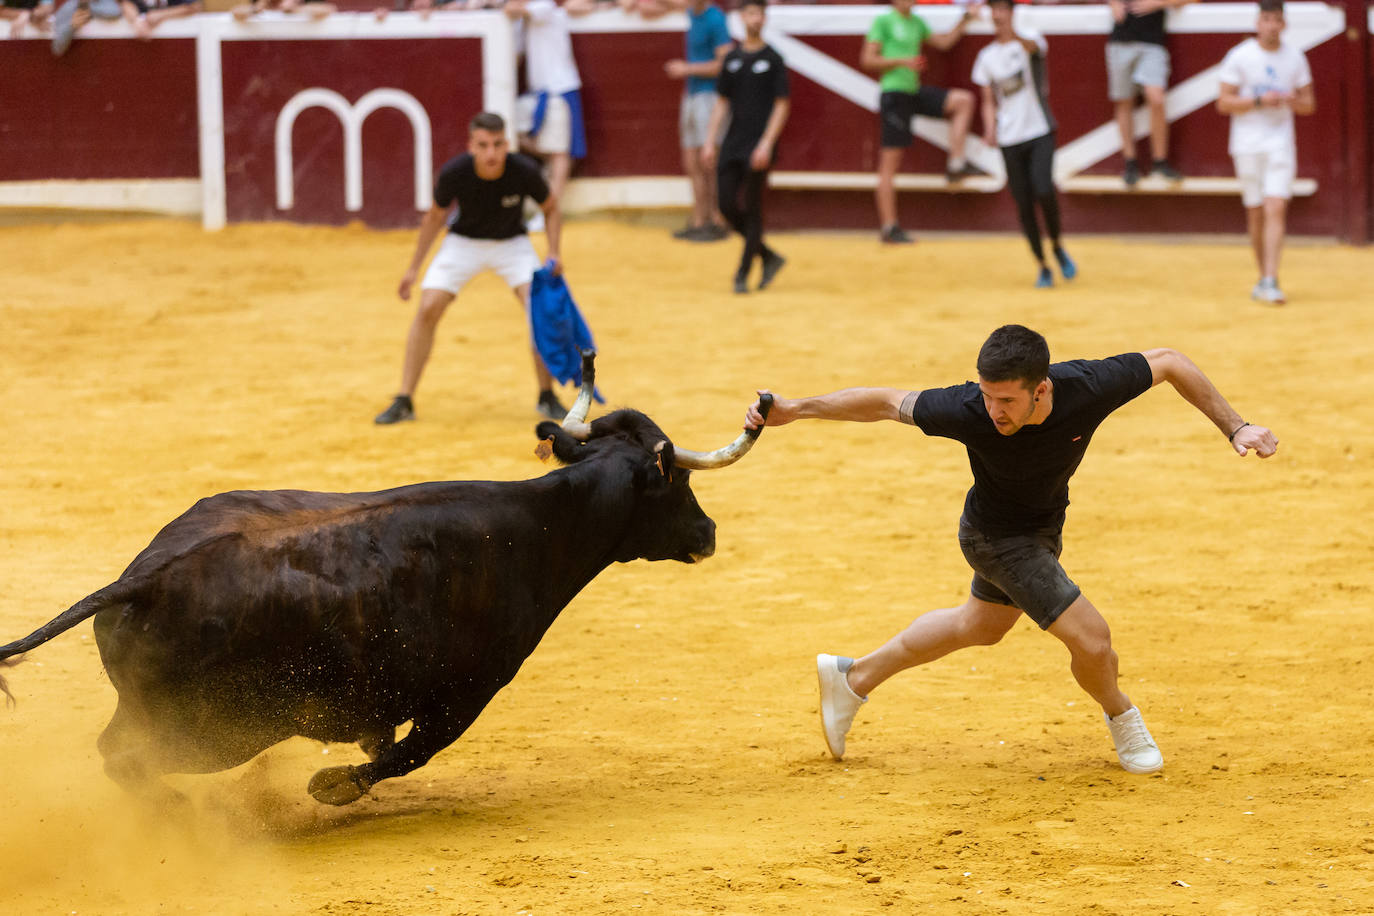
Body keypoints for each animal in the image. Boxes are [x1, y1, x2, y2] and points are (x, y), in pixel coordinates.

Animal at [0, 392, 774, 802]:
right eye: (677, 482)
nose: (708, 533)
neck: (540, 525)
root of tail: (152, 574)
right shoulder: (465, 693)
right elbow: (409, 753)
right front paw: (335, 786)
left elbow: (386, 741)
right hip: (217, 727)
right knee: (124, 758)